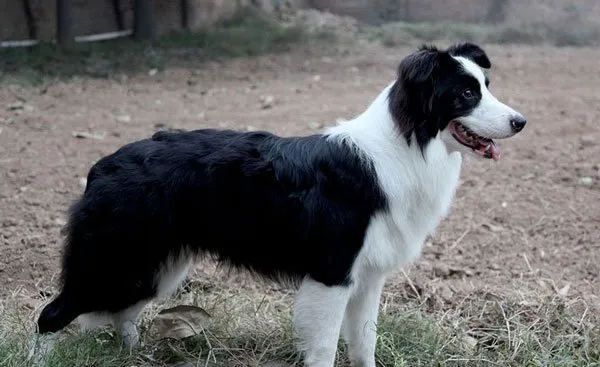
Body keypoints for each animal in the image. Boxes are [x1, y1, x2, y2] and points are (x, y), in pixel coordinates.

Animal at [36, 42, 524, 366]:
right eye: (465, 94)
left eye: (486, 86)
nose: (521, 122)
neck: (406, 146)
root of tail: (104, 164)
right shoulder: (332, 273)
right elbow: (325, 347)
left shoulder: (367, 277)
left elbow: (364, 343)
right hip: (113, 259)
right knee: (52, 314)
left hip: (151, 266)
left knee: (122, 313)